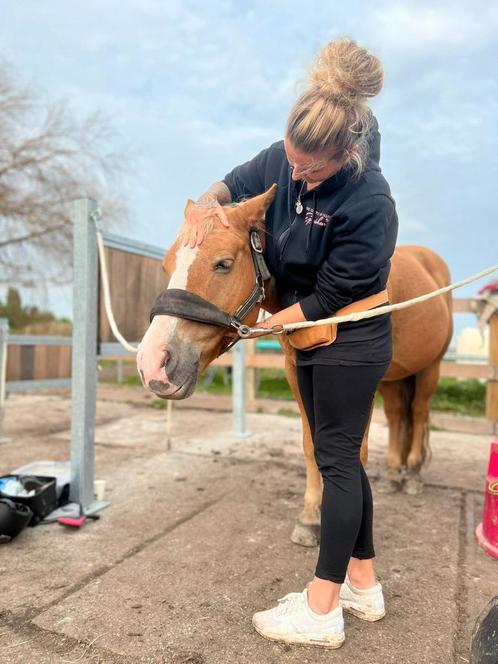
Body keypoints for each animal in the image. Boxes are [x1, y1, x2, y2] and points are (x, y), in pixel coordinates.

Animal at [136, 188, 452, 548]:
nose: (153, 364)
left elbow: (354, 452)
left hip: (429, 369)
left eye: (223, 264)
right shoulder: (297, 376)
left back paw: (411, 474)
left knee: (419, 413)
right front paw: (311, 517)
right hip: (392, 379)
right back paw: (394, 472)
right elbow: (311, 445)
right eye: (167, 264)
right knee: (399, 416)